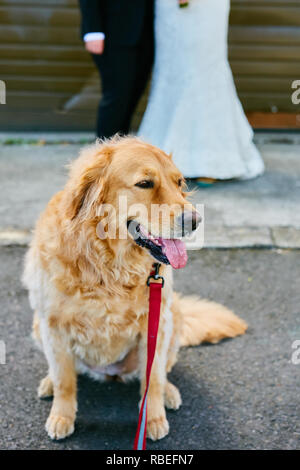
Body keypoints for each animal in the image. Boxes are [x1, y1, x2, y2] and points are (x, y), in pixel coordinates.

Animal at [21, 136, 246, 440]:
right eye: (145, 183)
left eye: (179, 182)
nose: (195, 221)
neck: (109, 266)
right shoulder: (52, 325)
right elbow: (64, 380)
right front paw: (61, 416)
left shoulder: (155, 325)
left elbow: (153, 379)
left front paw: (153, 419)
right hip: (37, 326)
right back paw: (47, 383)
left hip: (173, 317)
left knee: (161, 371)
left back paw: (170, 393)